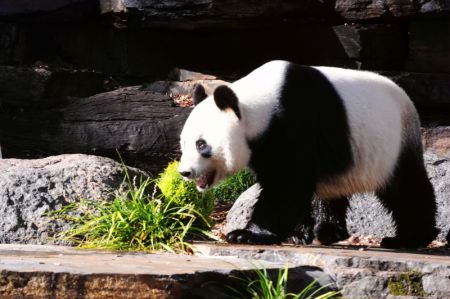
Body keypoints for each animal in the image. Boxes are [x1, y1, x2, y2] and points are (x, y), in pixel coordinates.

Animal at [178, 60, 436, 248]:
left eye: (201, 144)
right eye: (184, 143)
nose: (184, 172)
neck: (257, 104)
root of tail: (407, 99)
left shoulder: (296, 120)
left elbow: (287, 184)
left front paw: (246, 235)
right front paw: (297, 235)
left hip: (394, 142)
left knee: (405, 187)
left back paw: (410, 238)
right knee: (331, 188)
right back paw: (328, 231)